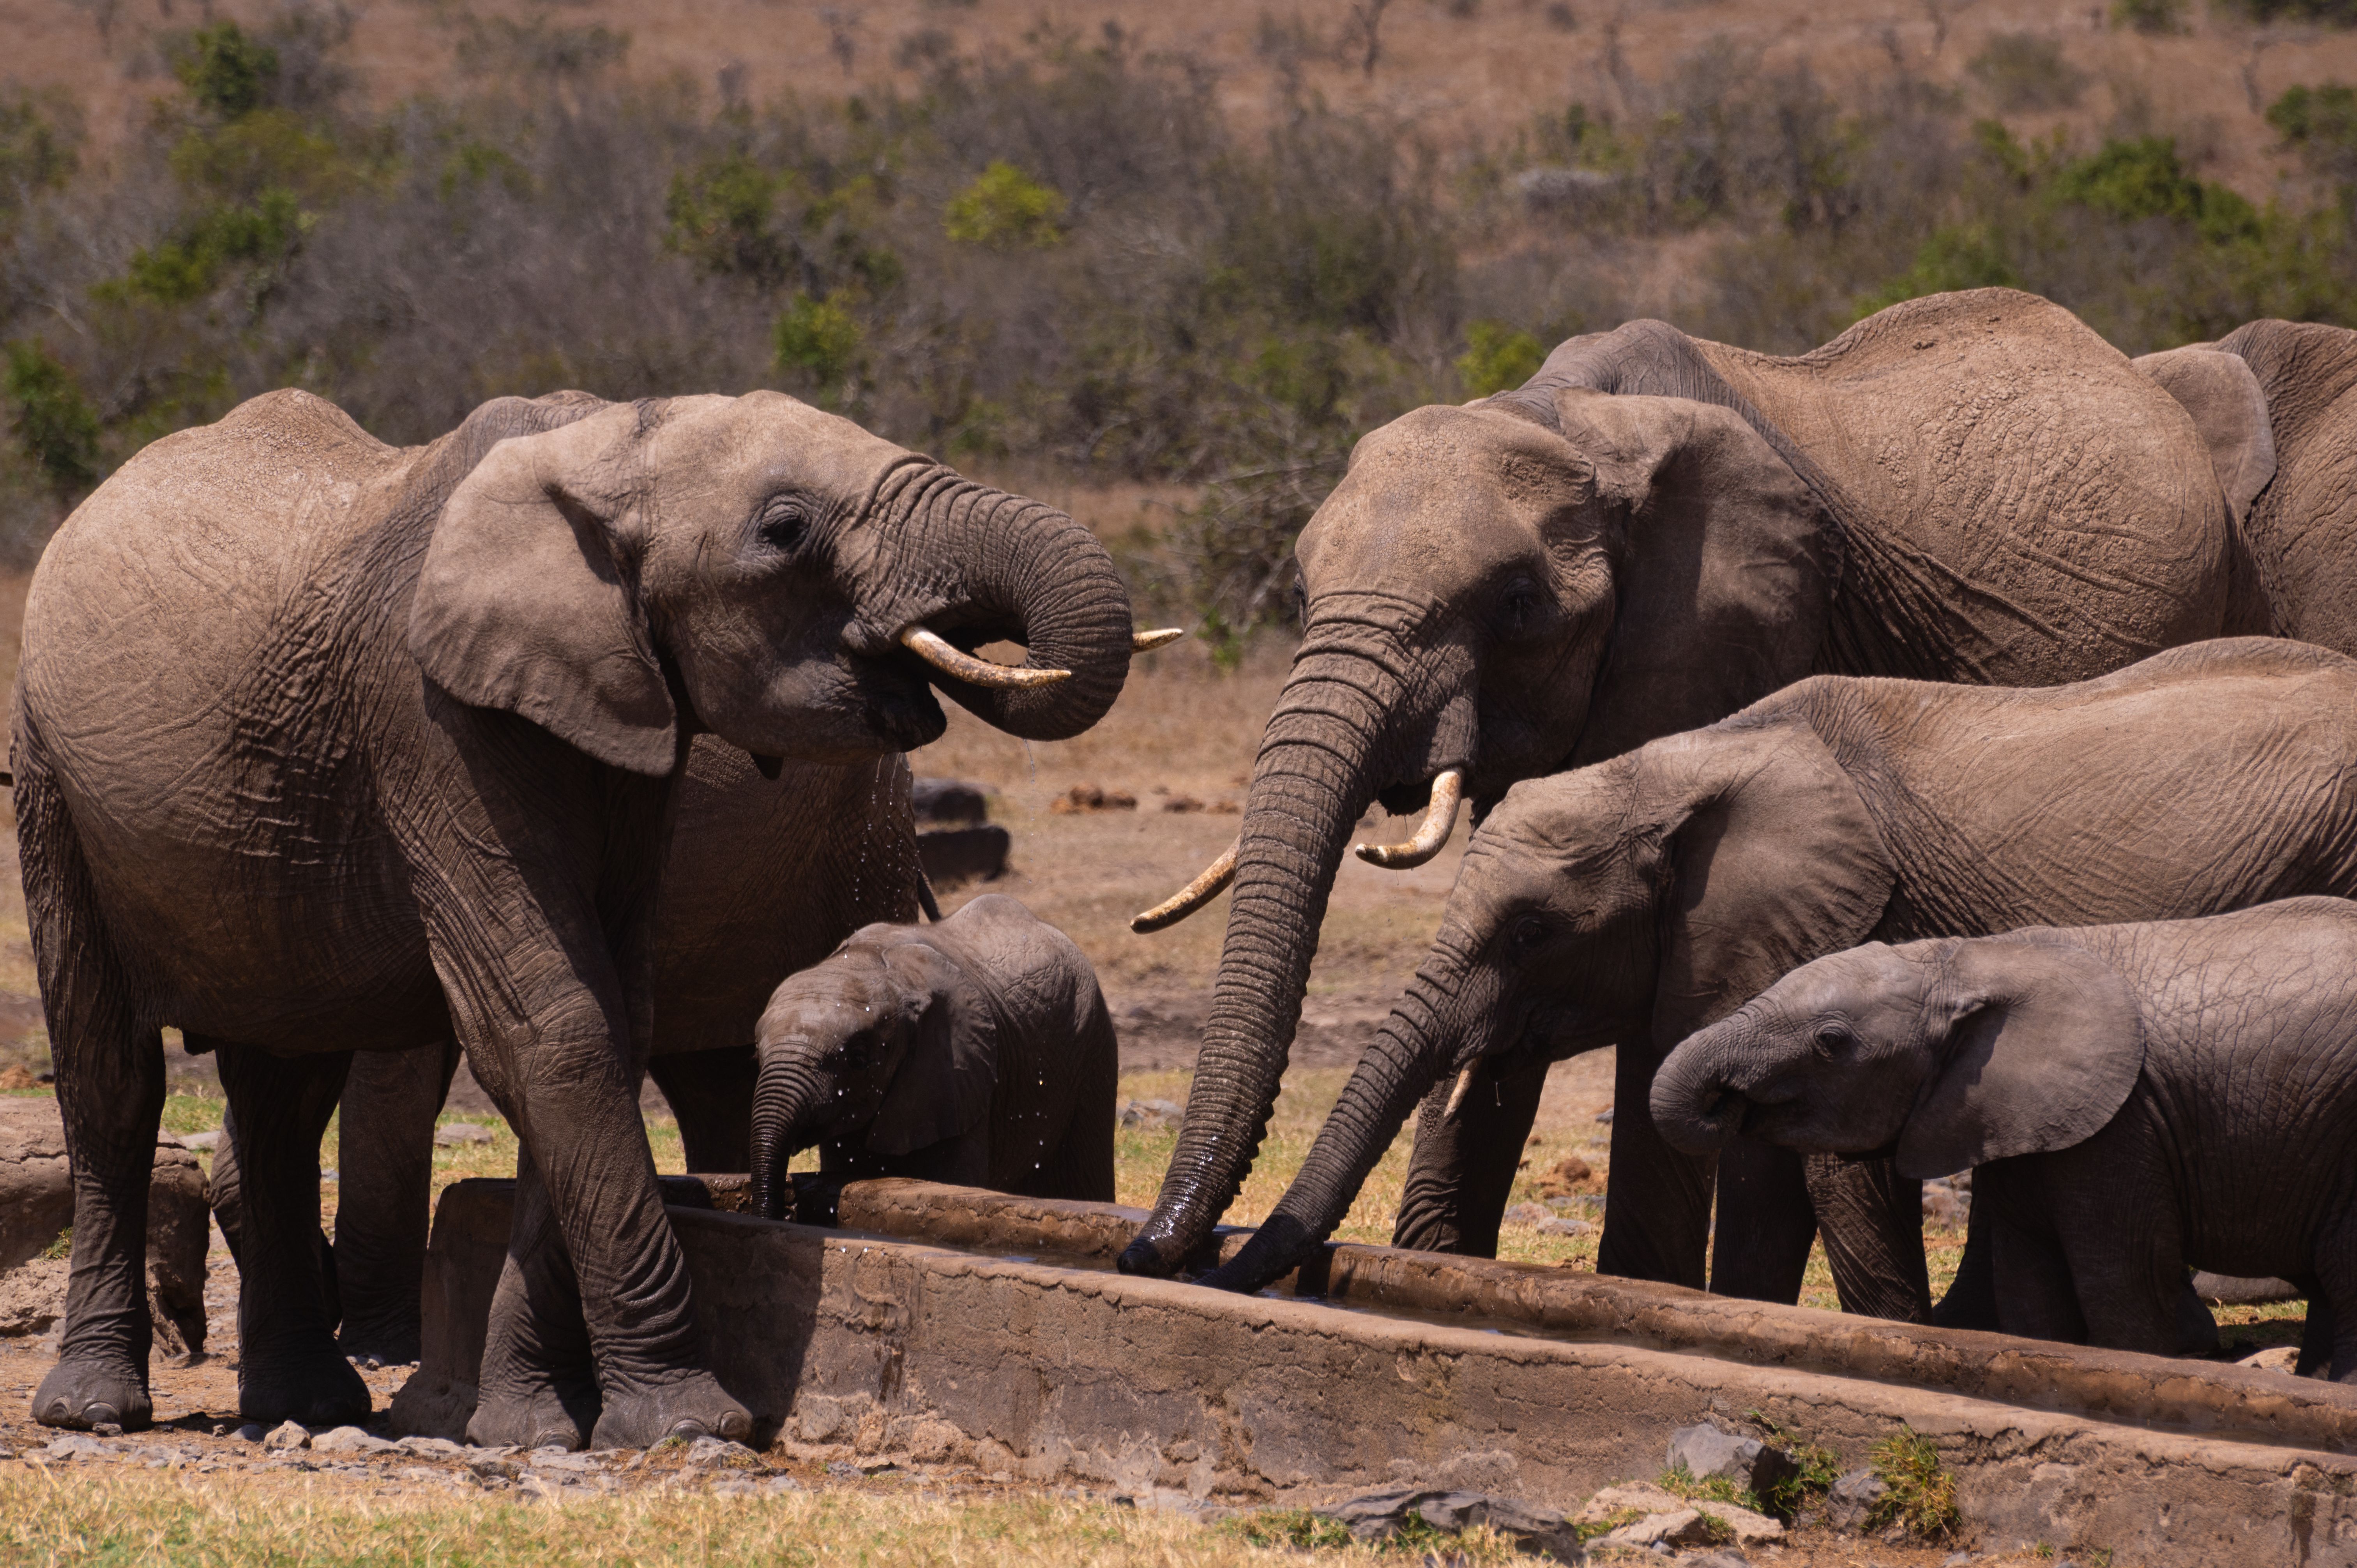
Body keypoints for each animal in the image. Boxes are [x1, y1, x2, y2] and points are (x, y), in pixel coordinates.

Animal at [747, 894, 1117, 1214]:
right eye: (757, 1057)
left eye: (858, 1059)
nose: (784, 1210)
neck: (872, 960)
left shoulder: (956, 1079)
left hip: (1092, 1040)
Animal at [1120, 285, 2275, 1286]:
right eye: (1302, 585)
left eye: (1517, 602)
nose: (1160, 1248)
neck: (1572, 420)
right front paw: (1440, 1264)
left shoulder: (1730, 638)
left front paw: (1636, 1287)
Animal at [1191, 638, 2357, 1314]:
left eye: (1529, 933)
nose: (1184, 1251)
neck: (1683, 765)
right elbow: (1762, 1174)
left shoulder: (1858, 937)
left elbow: (1835, 1169)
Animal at [1651, 898, 2357, 1378]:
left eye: (1831, 1041)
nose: (1727, 1099)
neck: (1971, 960)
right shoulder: (2024, 1121)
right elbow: (2028, 1287)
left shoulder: (2123, 1125)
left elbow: (2120, 1283)